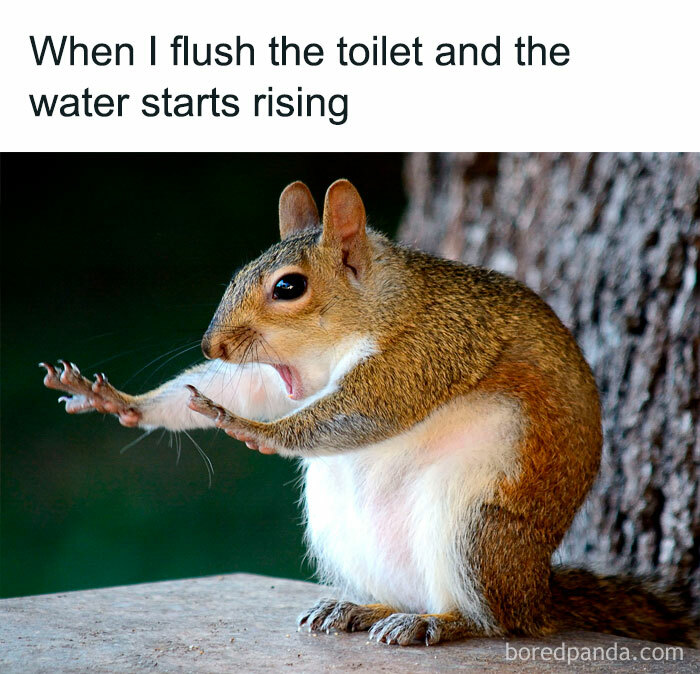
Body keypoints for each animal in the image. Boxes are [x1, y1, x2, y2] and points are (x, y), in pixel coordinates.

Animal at [41, 179, 697, 647]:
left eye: (288, 287)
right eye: (239, 272)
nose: (214, 346)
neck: (377, 307)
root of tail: (537, 593)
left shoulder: (431, 347)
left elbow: (365, 411)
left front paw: (252, 429)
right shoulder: (286, 376)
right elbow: (247, 388)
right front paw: (120, 401)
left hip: (476, 529)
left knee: (495, 621)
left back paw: (440, 623)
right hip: (346, 530)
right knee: (403, 595)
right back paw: (359, 607)